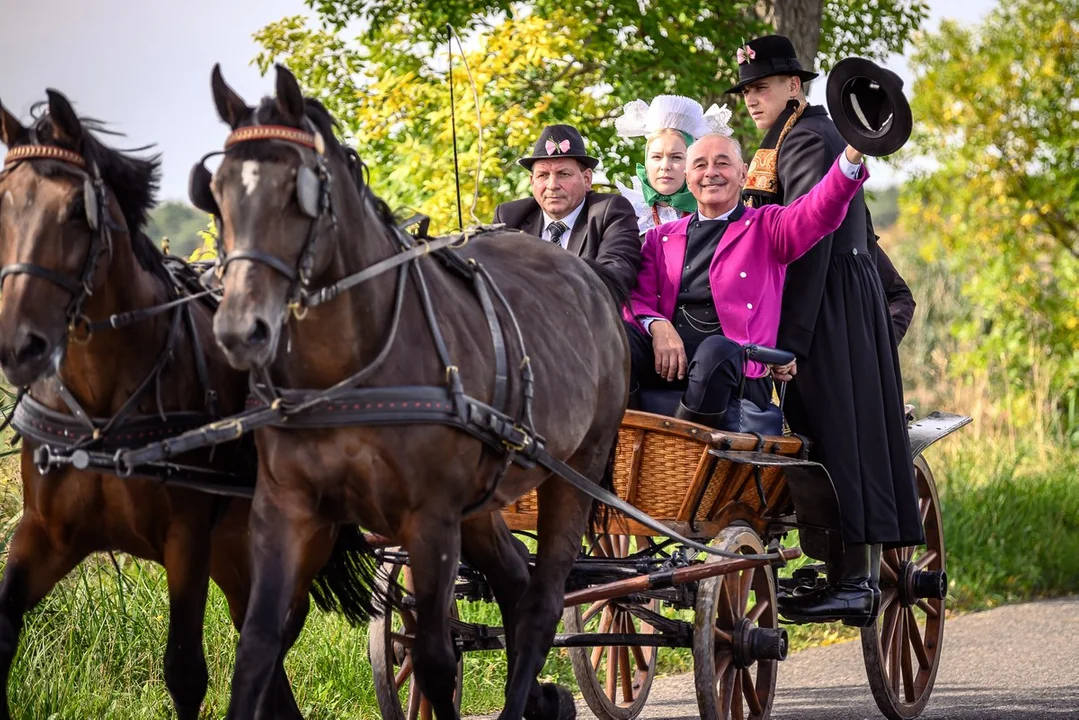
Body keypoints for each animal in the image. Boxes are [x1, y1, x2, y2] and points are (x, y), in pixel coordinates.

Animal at [0, 92, 371, 716]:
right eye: (3, 206)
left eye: (77, 210)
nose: (19, 343)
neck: (102, 417)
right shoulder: (44, 534)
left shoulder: (186, 540)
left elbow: (185, 671)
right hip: (236, 553)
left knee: (267, 640)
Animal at [198, 64, 630, 716]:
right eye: (217, 191)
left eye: (299, 191)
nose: (238, 330)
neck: (348, 375)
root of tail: (591, 282)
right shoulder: (285, 509)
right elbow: (257, 649)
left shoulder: (429, 520)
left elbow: (433, 659)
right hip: (484, 498)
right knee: (515, 580)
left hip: (574, 471)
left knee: (542, 604)